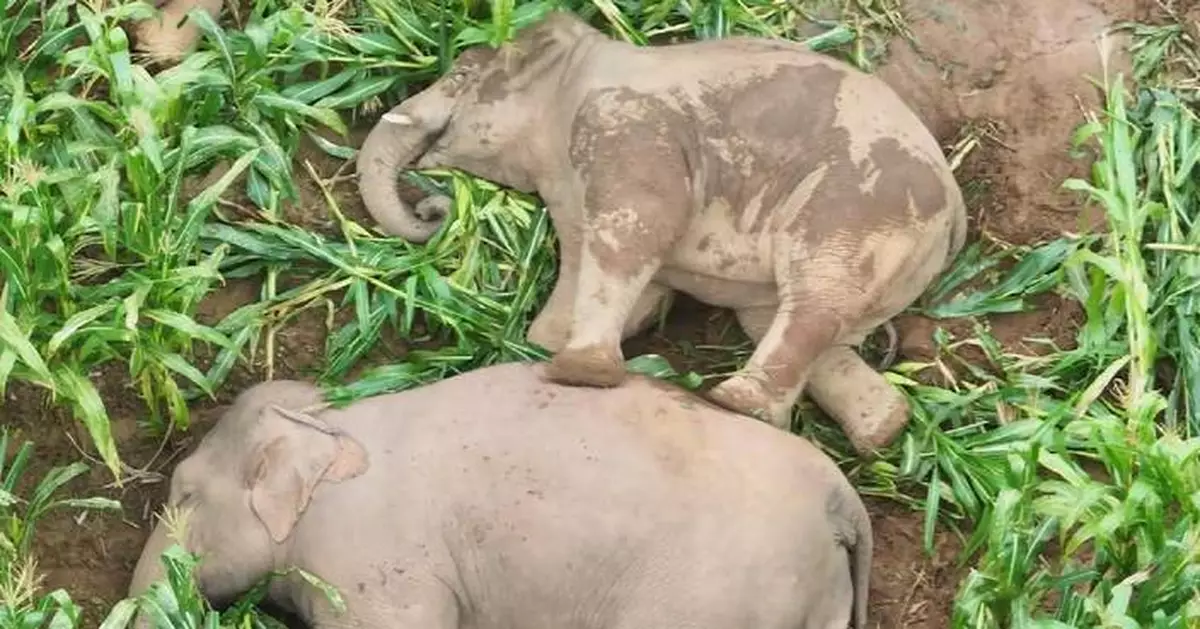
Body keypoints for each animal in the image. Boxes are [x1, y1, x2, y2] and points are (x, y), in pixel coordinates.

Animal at [354, 10, 968, 455]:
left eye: (460, 76)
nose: (432, 207)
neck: (578, 67)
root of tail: (957, 210)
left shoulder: (625, 127)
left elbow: (640, 226)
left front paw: (579, 372)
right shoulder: (568, 185)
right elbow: (614, 277)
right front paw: (545, 350)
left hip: (860, 208)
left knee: (813, 301)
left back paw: (733, 403)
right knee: (784, 319)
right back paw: (882, 430)